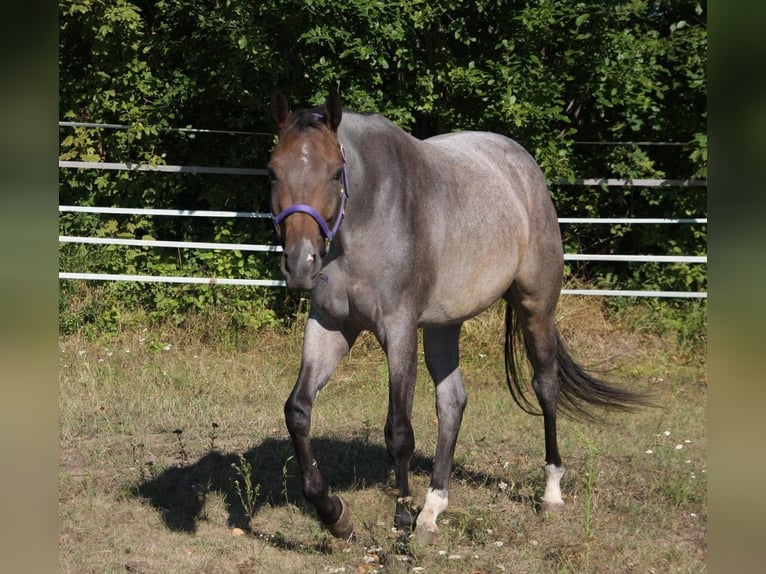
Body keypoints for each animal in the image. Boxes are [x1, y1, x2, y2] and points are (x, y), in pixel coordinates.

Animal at [267, 90, 647, 543]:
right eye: (272, 171)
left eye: (336, 171)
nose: (300, 263)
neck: (370, 215)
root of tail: (522, 164)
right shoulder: (330, 324)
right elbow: (298, 411)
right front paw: (333, 513)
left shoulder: (398, 330)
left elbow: (399, 431)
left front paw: (400, 521)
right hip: (443, 326)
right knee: (452, 402)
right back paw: (433, 507)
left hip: (535, 307)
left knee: (546, 386)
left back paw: (551, 492)